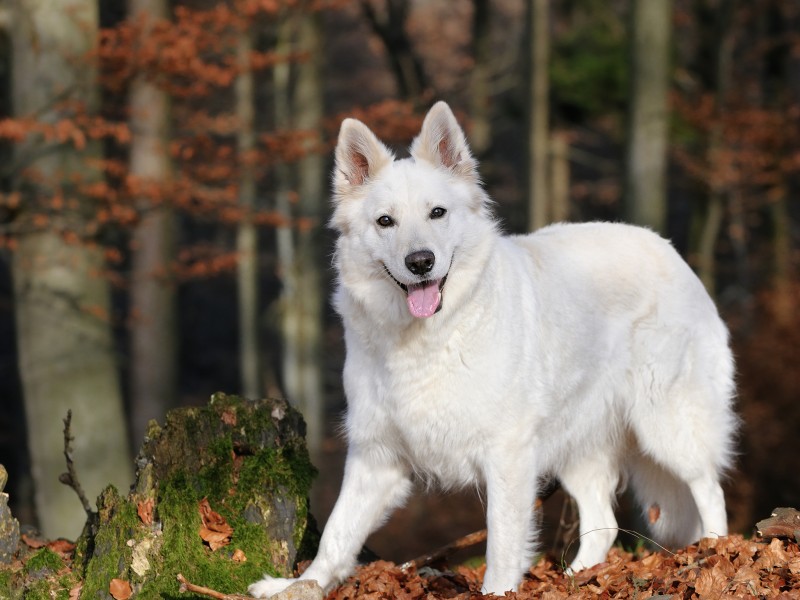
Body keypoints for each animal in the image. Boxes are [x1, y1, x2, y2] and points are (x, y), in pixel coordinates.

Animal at [247, 102, 736, 596]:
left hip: (668, 426)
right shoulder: (376, 455)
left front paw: (499, 590)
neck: (430, 336)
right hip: (577, 445)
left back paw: (714, 557)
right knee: (605, 523)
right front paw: (298, 585)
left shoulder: (507, 452)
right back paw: (575, 578)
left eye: (437, 213)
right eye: (385, 221)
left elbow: (501, 540)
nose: (420, 262)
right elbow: (336, 531)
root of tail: (670, 251)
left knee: (710, 491)